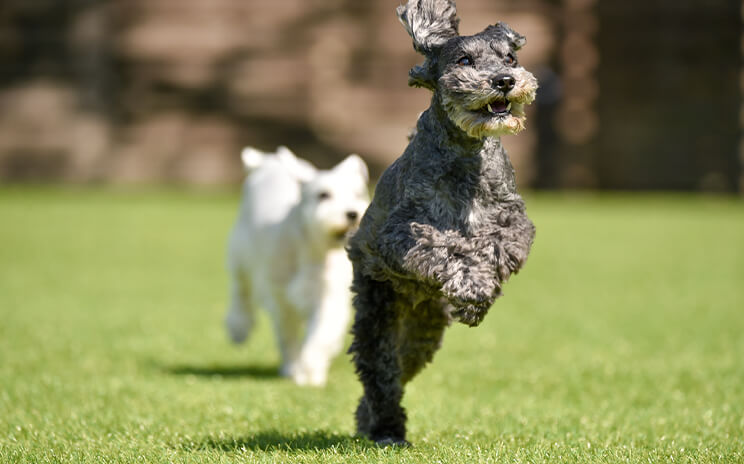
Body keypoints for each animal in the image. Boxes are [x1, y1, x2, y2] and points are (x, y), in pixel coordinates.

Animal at [224, 147, 370, 386]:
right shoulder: (282, 298)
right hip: (240, 254)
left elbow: (320, 334)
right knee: (241, 290)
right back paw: (239, 326)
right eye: (323, 195)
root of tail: (269, 161)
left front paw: (309, 370)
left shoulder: (327, 297)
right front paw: (294, 367)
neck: (312, 249)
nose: (352, 213)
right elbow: (288, 334)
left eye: (357, 194)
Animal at [346, 0, 536, 446]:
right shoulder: (399, 234)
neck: (466, 155)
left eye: (510, 58)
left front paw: (480, 288)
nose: (504, 80)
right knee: (380, 374)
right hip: (376, 310)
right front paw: (471, 283)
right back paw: (385, 429)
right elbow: (441, 245)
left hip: (423, 332)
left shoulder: (515, 225)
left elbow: (496, 245)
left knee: (400, 368)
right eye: (465, 60)